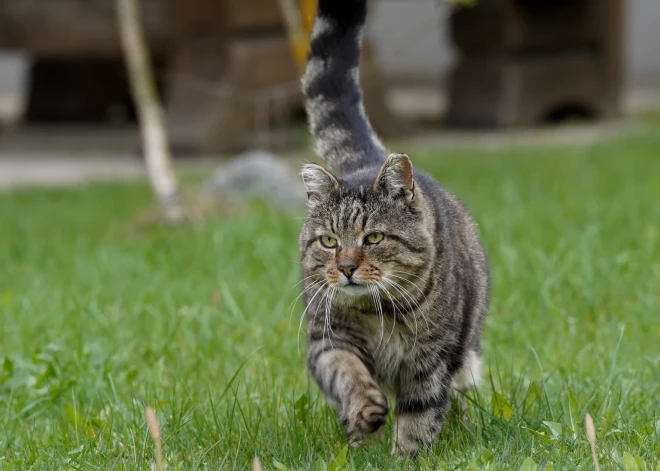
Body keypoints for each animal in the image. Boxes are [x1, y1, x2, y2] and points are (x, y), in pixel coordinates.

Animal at [300, 0, 490, 458]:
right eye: (329, 241)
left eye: (373, 238)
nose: (346, 268)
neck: (378, 315)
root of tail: (369, 161)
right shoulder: (327, 340)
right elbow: (347, 373)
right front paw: (366, 414)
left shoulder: (430, 362)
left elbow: (419, 417)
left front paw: (407, 458)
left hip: (467, 356)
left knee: (464, 391)